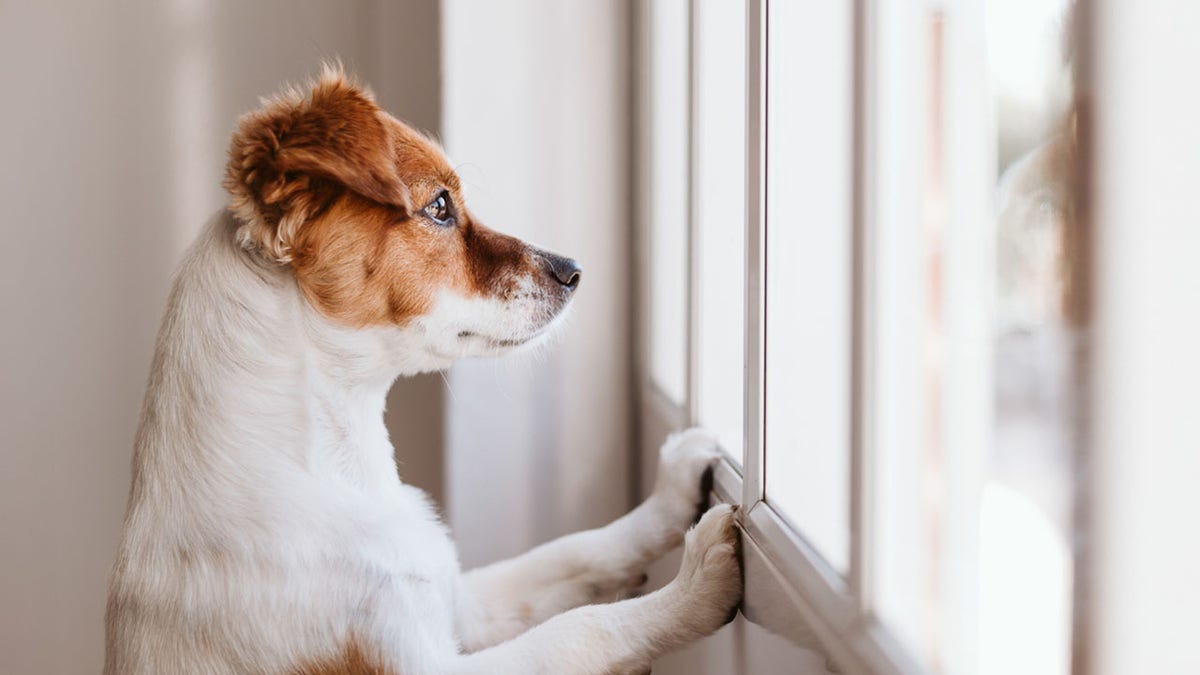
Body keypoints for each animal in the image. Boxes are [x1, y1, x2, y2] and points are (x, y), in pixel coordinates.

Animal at [103, 64, 739, 672]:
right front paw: (696, 583)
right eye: (438, 207)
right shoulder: (424, 662)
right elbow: (581, 632)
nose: (574, 271)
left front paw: (670, 494)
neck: (339, 465)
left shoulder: (459, 603)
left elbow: (572, 551)